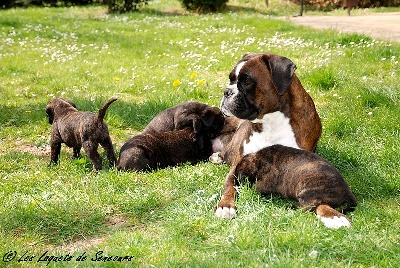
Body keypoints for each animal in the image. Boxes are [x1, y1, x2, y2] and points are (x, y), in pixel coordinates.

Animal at [212, 51, 332, 224]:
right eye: (231, 79)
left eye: (247, 81)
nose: (226, 91)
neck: (270, 121)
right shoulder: (237, 168)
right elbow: (230, 187)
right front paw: (225, 206)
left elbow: (319, 197)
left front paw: (331, 214)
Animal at [219, 144, 360, 228]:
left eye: (241, 175)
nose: (236, 183)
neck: (260, 158)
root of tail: (348, 193)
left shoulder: (267, 182)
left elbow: (256, 187)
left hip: (305, 189)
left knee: (310, 206)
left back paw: (291, 207)